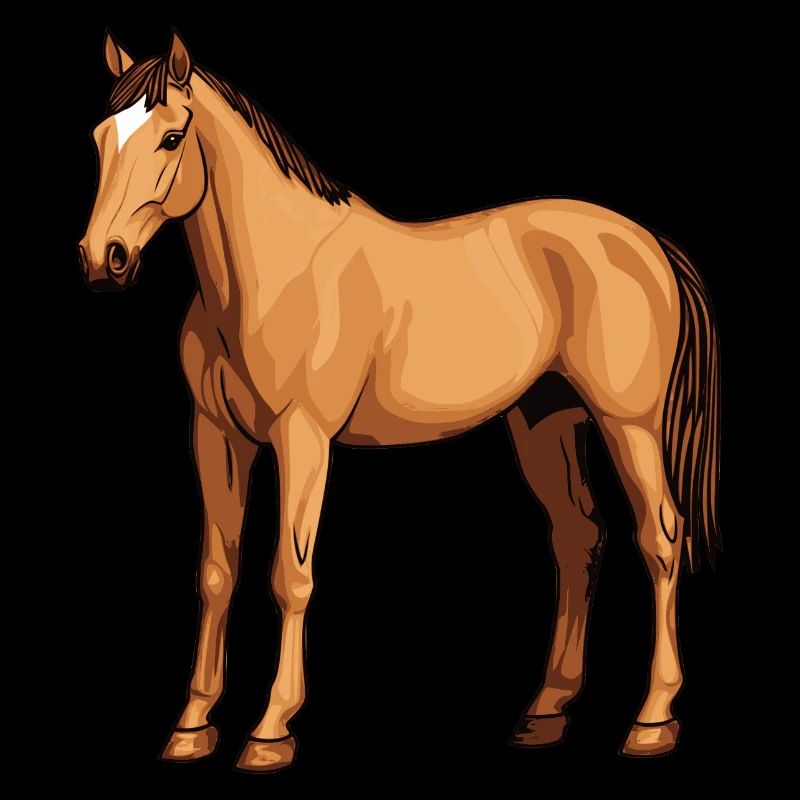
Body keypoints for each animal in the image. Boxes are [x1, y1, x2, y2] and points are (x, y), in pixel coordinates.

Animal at [79, 30, 720, 771]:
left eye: (171, 136)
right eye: (99, 137)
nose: (103, 258)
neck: (272, 273)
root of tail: (646, 242)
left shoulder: (304, 437)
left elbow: (289, 574)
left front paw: (271, 730)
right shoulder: (217, 435)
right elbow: (217, 572)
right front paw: (190, 727)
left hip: (629, 426)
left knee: (661, 538)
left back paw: (652, 720)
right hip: (545, 422)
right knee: (577, 537)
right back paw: (547, 711)